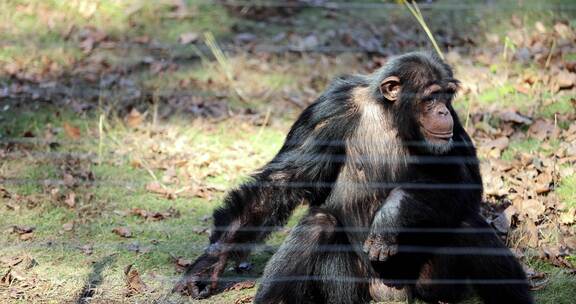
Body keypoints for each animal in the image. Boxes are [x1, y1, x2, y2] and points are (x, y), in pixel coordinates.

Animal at [173, 52, 532, 304]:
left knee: (465, 222)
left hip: (432, 287)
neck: (389, 115)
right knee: (318, 225)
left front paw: (391, 215)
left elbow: (464, 181)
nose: (441, 110)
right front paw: (209, 263)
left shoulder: (454, 127)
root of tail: (390, 295)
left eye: (446, 96)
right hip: (347, 290)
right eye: (430, 96)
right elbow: (283, 181)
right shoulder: (327, 111)